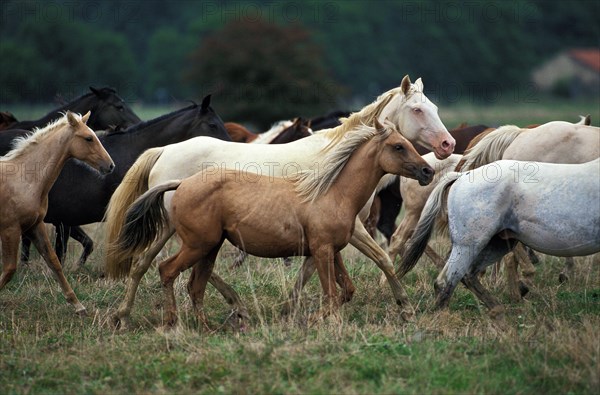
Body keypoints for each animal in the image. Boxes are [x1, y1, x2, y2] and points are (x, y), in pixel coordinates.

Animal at [0, 112, 114, 316]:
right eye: (88, 138)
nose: (110, 165)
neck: (24, 179)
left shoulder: (34, 226)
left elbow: (54, 261)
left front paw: (78, 306)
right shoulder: (10, 229)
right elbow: (9, 269)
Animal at [102, 76, 450, 330]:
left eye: (435, 106)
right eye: (417, 110)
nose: (448, 145)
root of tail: (164, 151)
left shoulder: (335, 235)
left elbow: (323, 272)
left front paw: (294, 309)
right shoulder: (349, 231)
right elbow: (378, 260)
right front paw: (402, 307)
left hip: (175, 228)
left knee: (145, 263)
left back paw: (124, 315)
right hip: (188, 232)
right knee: (165, 265)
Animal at [398, 159, 600, 316]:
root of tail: (463, 176)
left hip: (497, 244)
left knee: (468, 276)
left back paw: (498, 311)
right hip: (468, 245)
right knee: (447, 281)